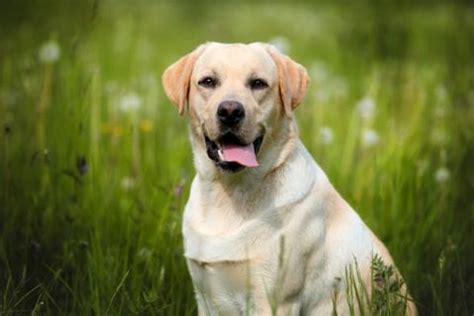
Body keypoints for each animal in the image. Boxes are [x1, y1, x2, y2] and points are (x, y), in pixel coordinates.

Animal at [162, 42, 414, 316]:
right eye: (208, 81)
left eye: (258, 83)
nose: (230, 111)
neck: (229, 193)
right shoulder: (205, 296)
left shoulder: (273, 301)